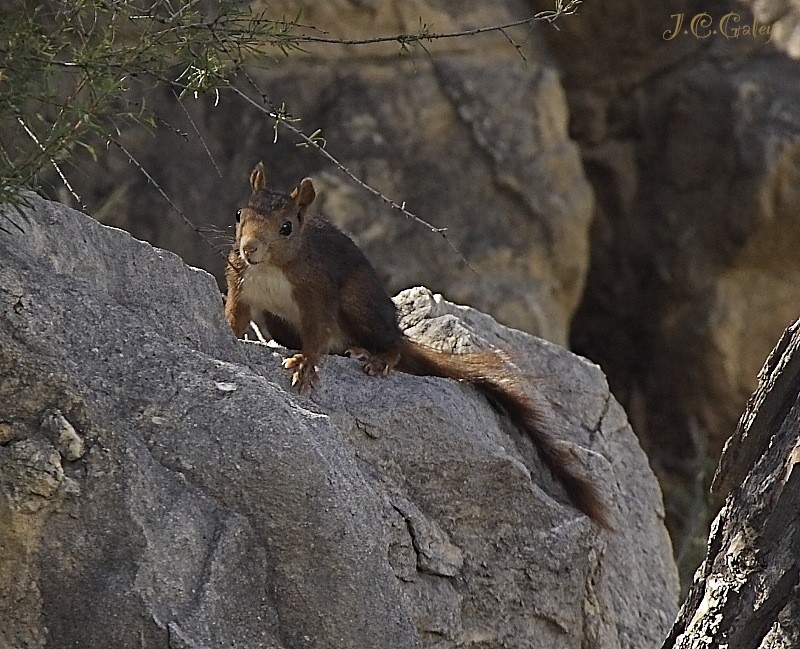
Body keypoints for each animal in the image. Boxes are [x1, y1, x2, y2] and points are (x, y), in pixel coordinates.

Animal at [225, 161, 612, 528]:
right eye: (240, 214)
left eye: (286, 227)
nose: (249, 249)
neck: (272, 268)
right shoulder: (239, 280)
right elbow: (236, 313)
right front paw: (230, 332)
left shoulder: (317, 290)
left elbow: (316, 332)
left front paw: (305, 364)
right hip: (280, 322)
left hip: (359, 302)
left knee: (391, 342)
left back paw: (377, 356)